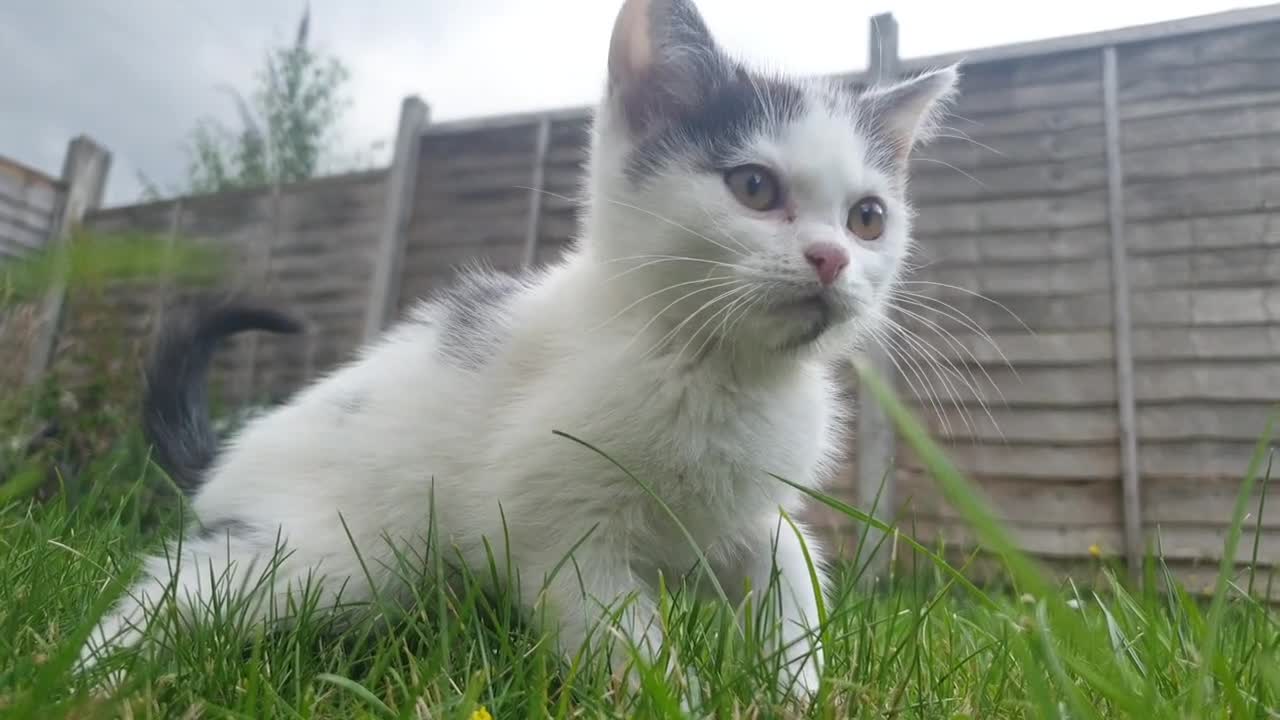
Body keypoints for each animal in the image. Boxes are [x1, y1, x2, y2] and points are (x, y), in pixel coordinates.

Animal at [80, 0, 957, 696]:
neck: (718, 368)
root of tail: (235, 451)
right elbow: (625, 638)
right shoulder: (551, 526)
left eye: (869, 218)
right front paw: (678, 696)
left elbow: (791, 564)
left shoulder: (747, 510)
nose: (832, 259)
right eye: (753, 188)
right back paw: (98, 677)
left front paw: (796, 685)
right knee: (184, 588)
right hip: (329, 556)